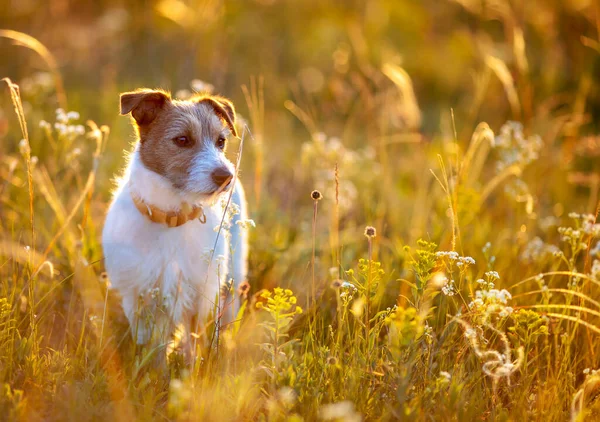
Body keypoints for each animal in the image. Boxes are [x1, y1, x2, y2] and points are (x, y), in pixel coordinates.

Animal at [102, 89, 247, 350]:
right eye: (182, 140)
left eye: (221, 141)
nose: (226, 176)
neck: (171, 216)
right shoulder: (137, 294)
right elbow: (149, 345)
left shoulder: (201, 294)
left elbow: (194, 346)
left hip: (233, 273)